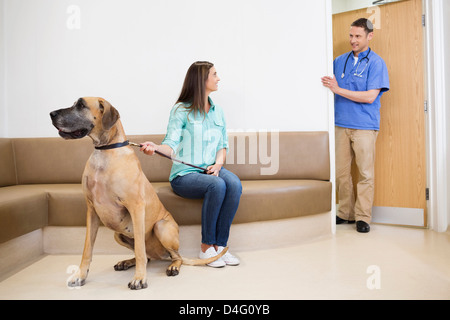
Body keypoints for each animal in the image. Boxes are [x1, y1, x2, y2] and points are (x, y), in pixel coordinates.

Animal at [51, 97, 227, 290]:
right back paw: (127, 262)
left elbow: (140, 251)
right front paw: (80, 275)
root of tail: (160, 255)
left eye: (81, 105)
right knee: (148, 256)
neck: (106, 150)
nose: (51, 114)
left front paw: (140, 278)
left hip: (161, 227)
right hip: (118, 234)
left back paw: (173, 266)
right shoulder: (91, 211)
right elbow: (87, 249)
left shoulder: (136, 207)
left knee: (174, 256)